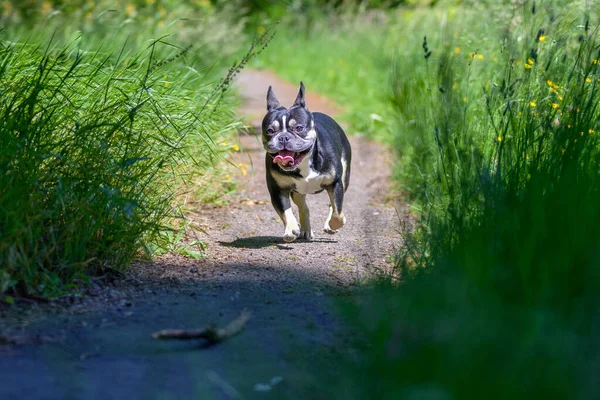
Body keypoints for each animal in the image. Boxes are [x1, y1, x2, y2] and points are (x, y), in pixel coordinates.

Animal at [262, 81, 352, 242]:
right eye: (270, 131)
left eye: (299, 128)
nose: (283, 137)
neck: (304, 161)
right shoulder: (278, 190)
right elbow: (285, 211)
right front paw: (291, 229)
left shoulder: (335, 183)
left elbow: (337, 211)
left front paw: (333, 224)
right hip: (298, 191)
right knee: (303, 207)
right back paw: (305, 230)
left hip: (344, 178)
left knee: (332, 205)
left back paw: (328, 225)